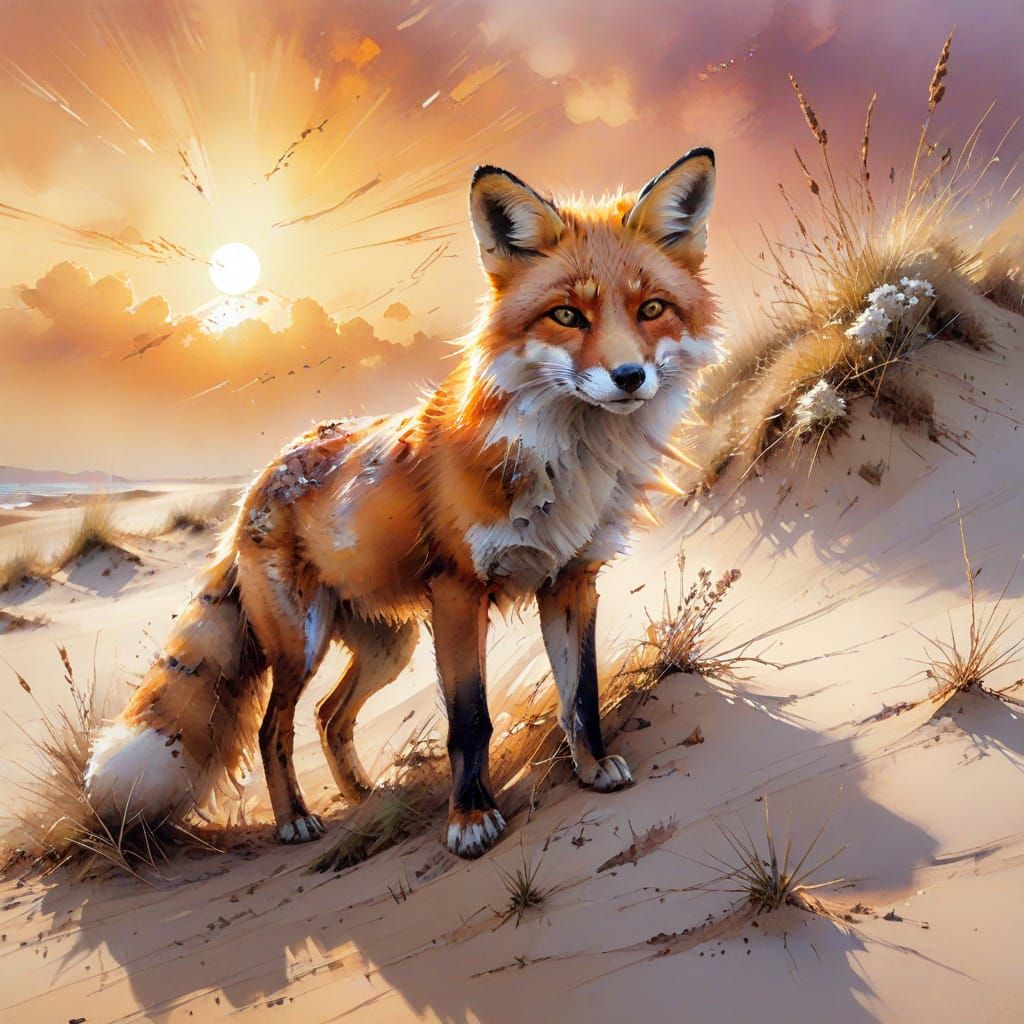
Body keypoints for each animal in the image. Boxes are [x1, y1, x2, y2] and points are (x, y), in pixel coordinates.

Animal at [84, 147, 718, 858]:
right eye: (566, 316)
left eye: (652, 308)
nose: (630, 377)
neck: (565, 461)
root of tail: (262, 476)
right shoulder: (458, 591)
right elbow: (470, 720)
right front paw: (469, 819)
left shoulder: (571, 579)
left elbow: (577, 693)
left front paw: (591, 768)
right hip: (302, 644)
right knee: (275, 728)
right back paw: (295, 820)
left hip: (391, 646)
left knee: (330, 716)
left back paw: (365, 797)